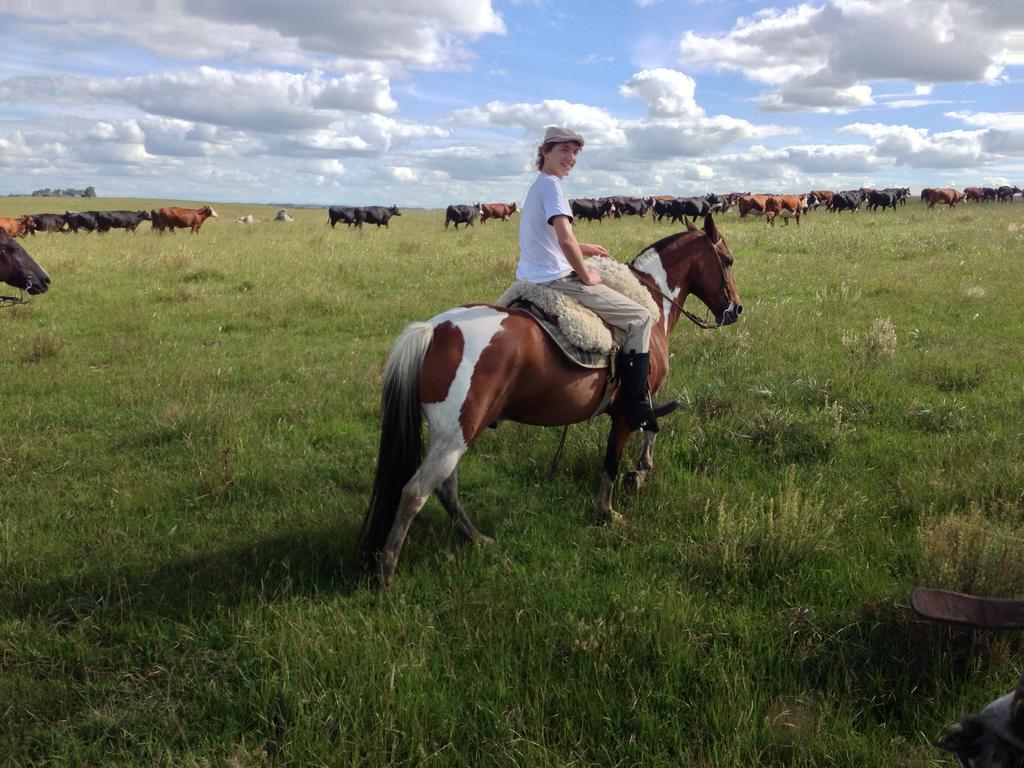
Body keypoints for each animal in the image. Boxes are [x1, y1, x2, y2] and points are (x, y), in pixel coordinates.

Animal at [362, 214, 745, 585]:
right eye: (727, 260)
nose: (736, 309)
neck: (649, 303)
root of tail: (434, 331)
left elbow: (651, 427)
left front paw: (641, 469)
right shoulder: (628, 409)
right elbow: (615, 456)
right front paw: (610, 508)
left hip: (452, 437)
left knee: (446, 488)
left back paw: (475, 537)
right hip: (454, 437)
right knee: (415, 492)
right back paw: (387, 571)